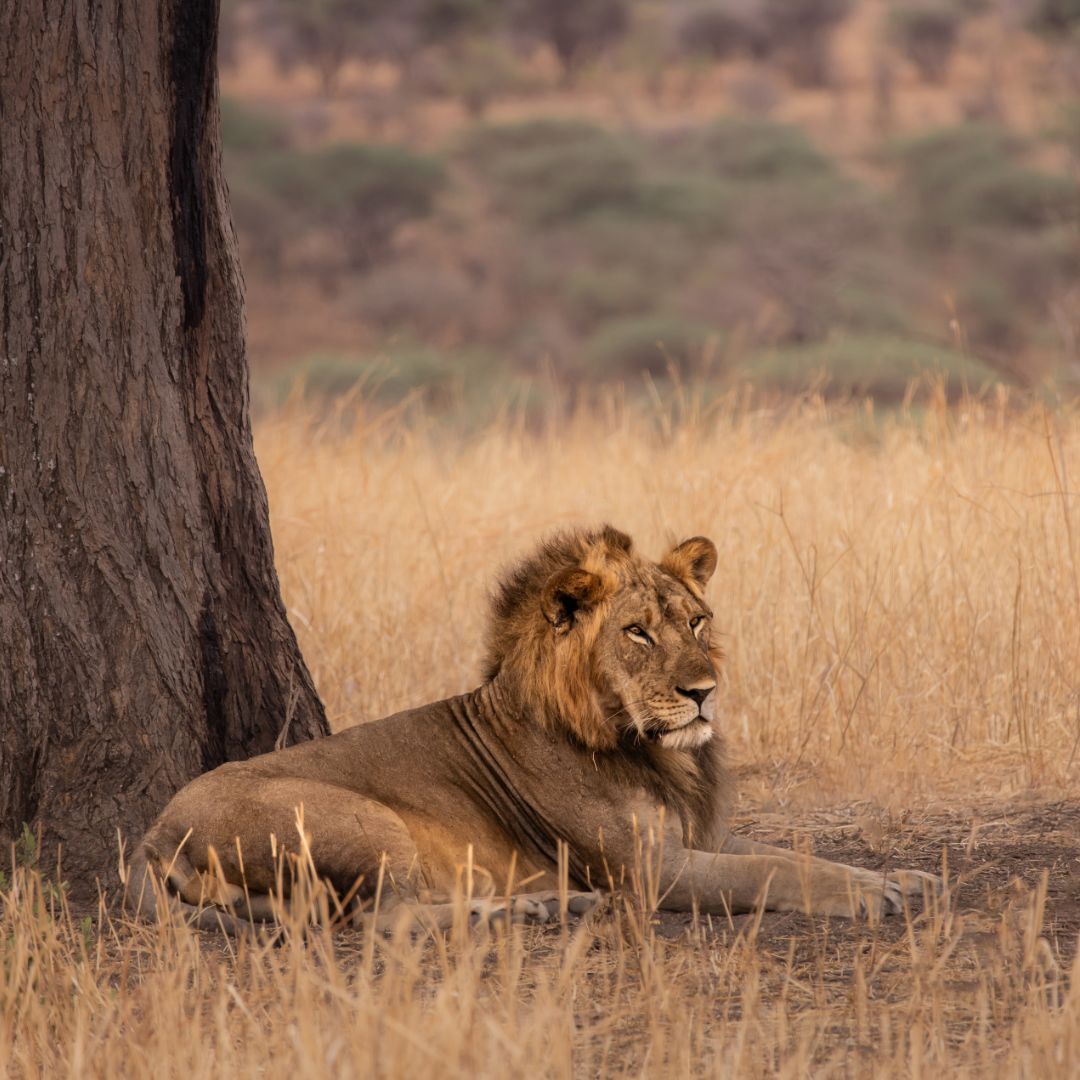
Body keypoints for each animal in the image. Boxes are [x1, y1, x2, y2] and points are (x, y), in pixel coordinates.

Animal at [126, 525, 939, 932]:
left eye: (696, 621)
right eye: (637, 633)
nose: (704, 692)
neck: (656, 752)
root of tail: (152, 835)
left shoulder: (694, 837)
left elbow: (788, 850)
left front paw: (904, 875)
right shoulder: (650, 871)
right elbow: (775, 870)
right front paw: (870, 895)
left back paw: (557, 904)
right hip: (357, 819)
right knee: (385, 917)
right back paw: (533, 910)